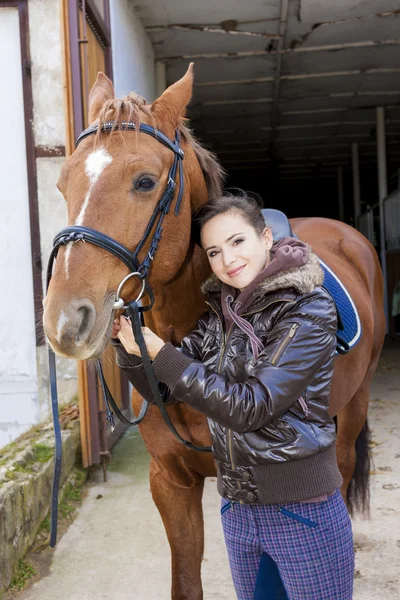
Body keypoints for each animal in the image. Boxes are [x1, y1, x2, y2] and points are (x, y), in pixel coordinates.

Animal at [43, 67, 384, 600]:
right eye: (62, 183)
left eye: (145, 181)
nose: (64, 322)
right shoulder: (171, 482)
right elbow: (186, 582)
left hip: (353, 410)